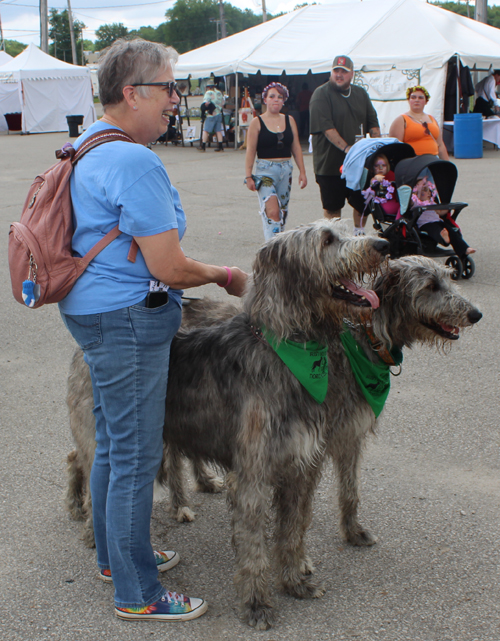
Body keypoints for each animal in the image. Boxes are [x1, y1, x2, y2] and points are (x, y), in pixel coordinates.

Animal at [65, 218, 390, 628]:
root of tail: (82, 350)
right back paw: (91, 529)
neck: (289, 352)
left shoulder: (300, 466)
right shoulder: (252, 471)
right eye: (328, 239)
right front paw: (257, 604)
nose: (382, 244)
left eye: (348, 229)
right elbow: (253, 546)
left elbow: (293, 530)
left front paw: (295, 582)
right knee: (91, 473)